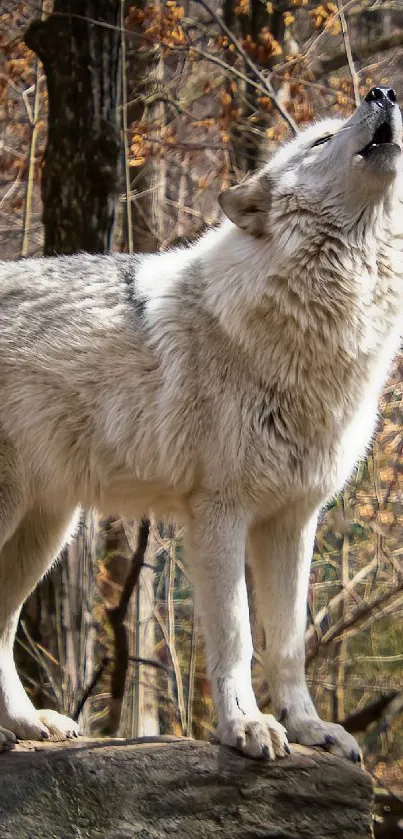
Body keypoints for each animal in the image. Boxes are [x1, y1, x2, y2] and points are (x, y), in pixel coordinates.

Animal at [0, 87, 402, 760]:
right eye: (320, 140)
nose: (383, 92)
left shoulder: (293, 521)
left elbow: (288, 647)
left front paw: (309, 729)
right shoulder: (219, 511)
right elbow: (238, 638)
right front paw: (246, 727)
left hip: (47, 529)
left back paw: (30, 724)